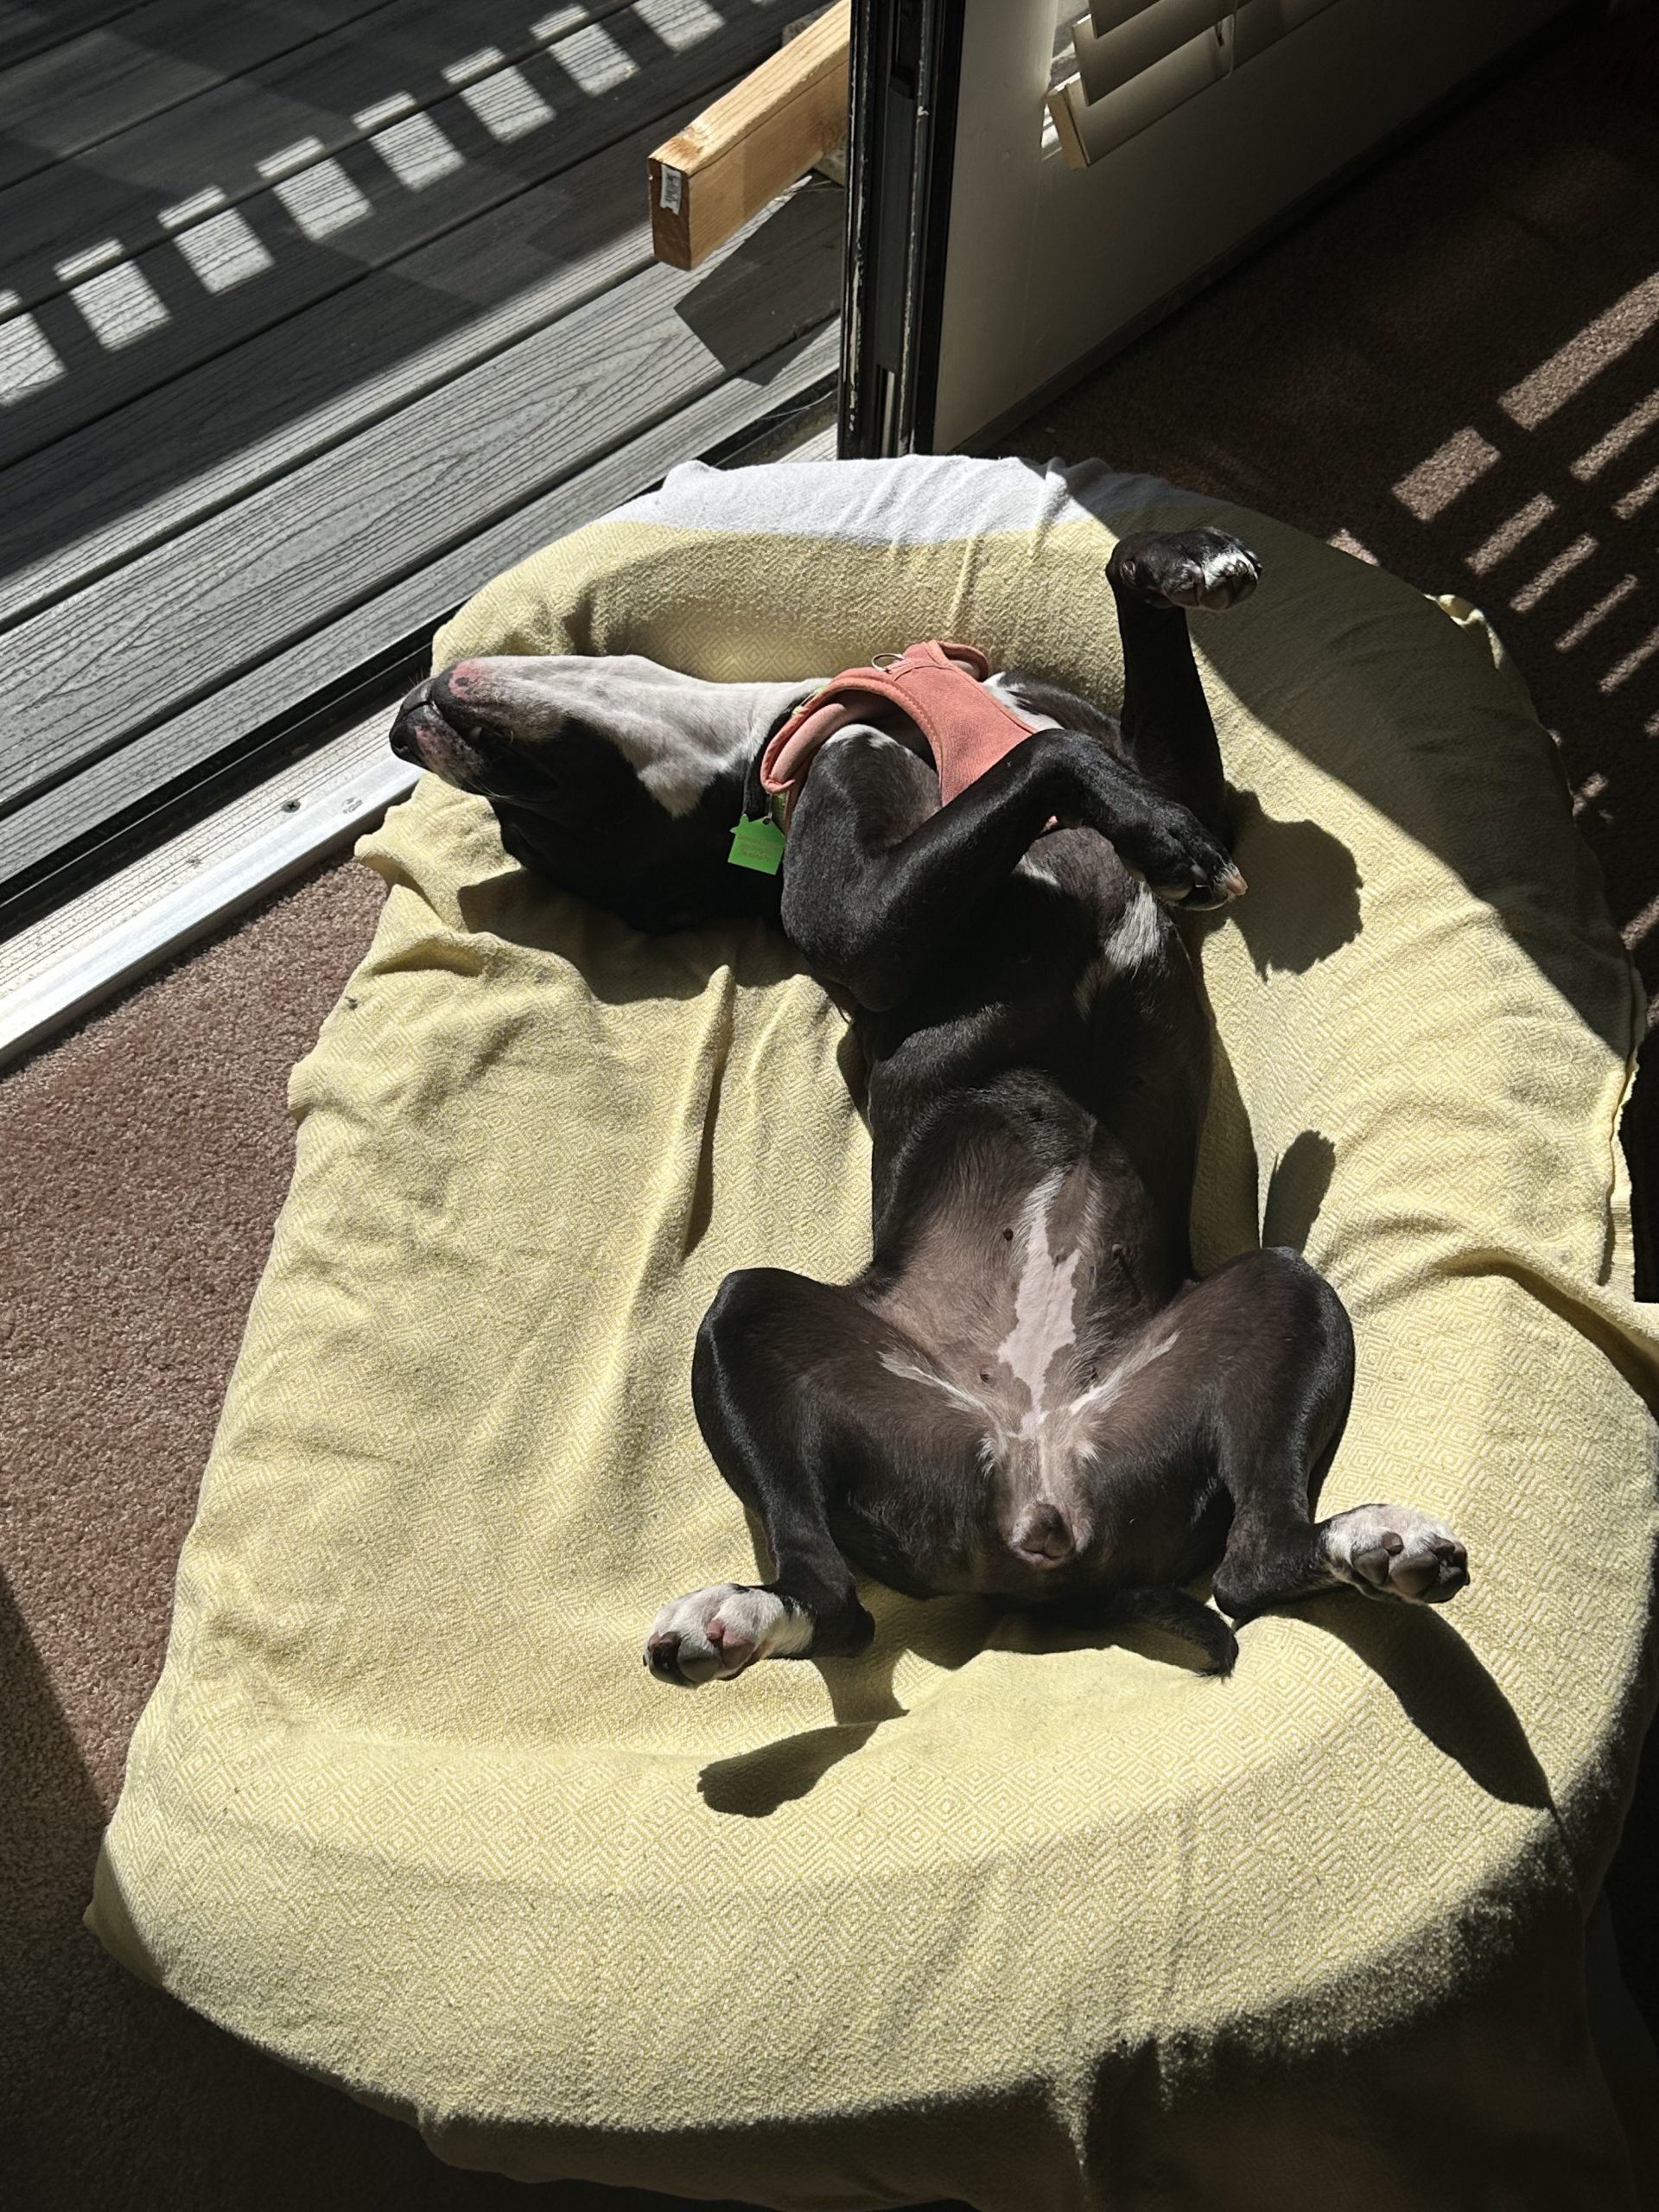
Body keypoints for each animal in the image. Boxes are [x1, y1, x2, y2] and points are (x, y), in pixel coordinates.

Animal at [396, 526, 1478, 1681]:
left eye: (529, 818)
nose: (405, 725)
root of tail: (1039, 1508)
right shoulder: (862, 923)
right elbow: (1043, 764)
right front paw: (1157, 837)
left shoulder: (1165, 766)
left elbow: (1128, 688)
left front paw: (1184, 559)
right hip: (744, 1320)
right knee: (835, 1600)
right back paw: (738, 1617)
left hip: (1283, 1296)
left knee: (1256, 1561)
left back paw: (1379, 1547)